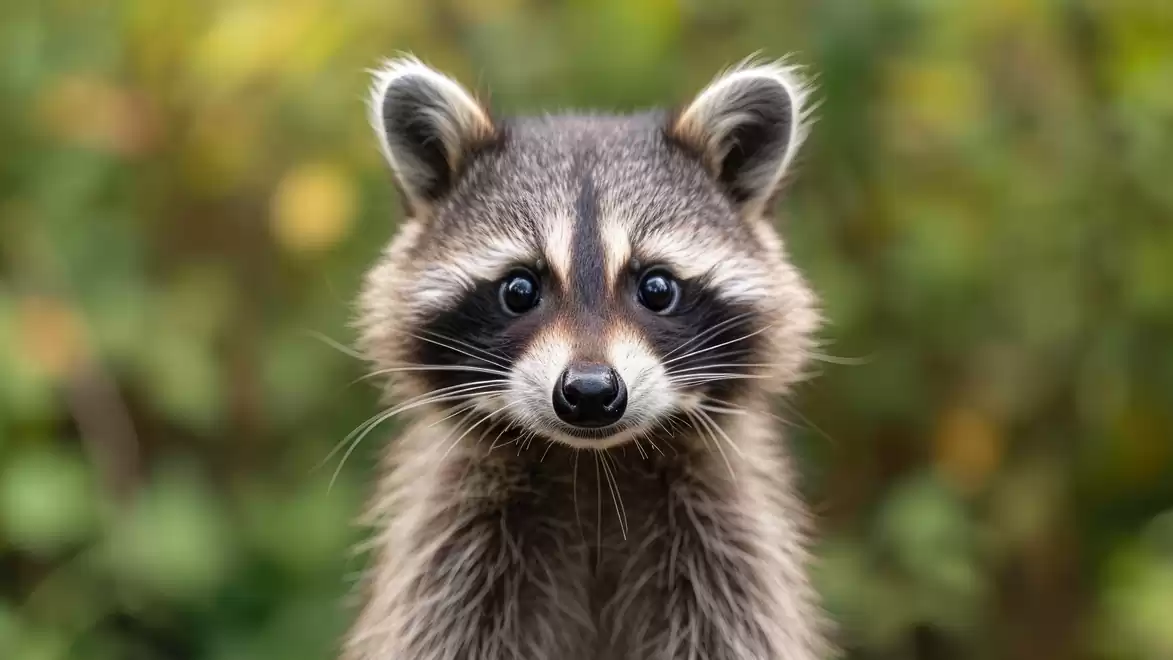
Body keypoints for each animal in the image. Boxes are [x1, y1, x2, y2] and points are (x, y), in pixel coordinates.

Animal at [344, 55, 830, 660]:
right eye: (520, 290)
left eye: (657, 288)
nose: (592, 392)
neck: (593, 469)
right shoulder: (454, 548)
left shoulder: (726, 547)